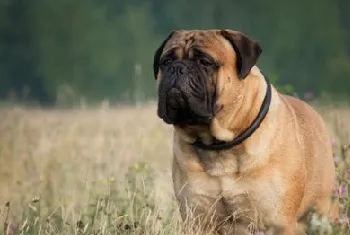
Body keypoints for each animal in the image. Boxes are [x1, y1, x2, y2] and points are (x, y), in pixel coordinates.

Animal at [152, 29, 336, 235]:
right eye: (166, 62)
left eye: (205, 62)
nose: (177, 68)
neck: (218, 144)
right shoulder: (198, 219)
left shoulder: (278, 223)